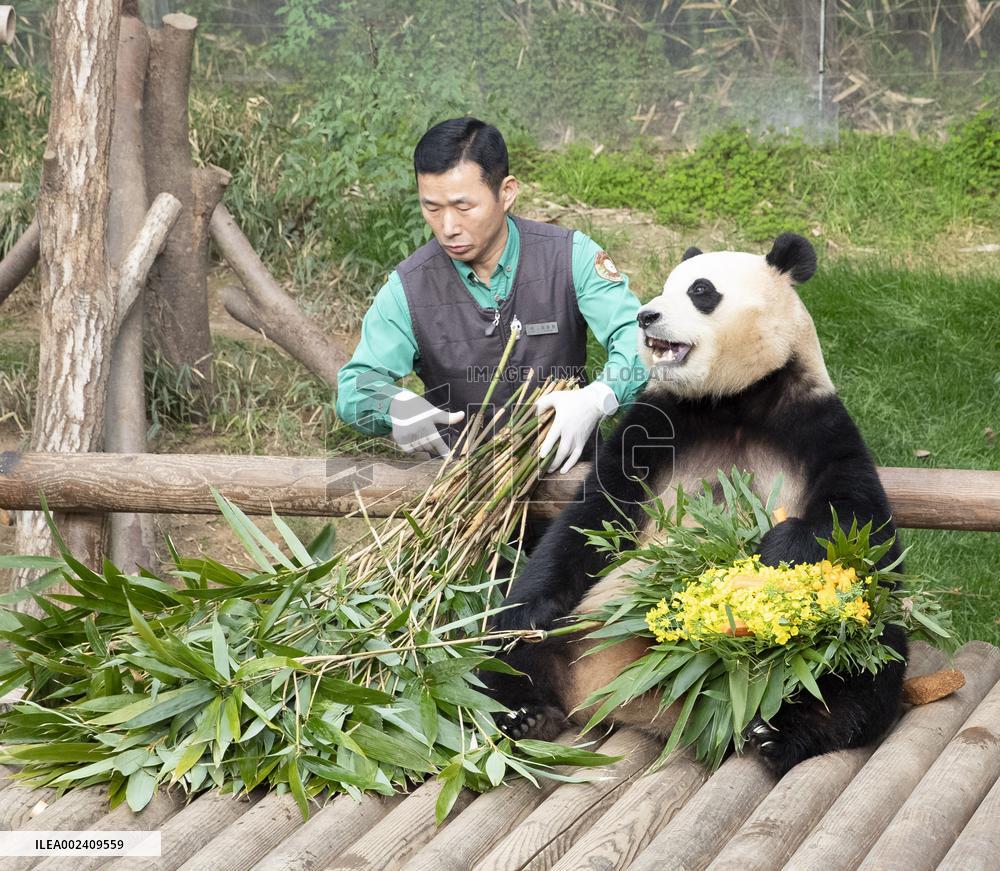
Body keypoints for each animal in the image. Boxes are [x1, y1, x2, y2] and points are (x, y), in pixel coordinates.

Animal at [483, 232, 908, 776]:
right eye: (664, 287)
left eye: (701, 291)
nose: (646, 316)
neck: (730, 401)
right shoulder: (655, 423)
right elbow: (593, 514)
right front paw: (532, 610)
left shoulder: (816, 421)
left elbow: (856, 519)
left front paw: (773, 552)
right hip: (574, 628)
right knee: (503, 653)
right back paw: (524, 715)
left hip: (839, 636)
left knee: (863, 664)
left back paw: (781, 734)